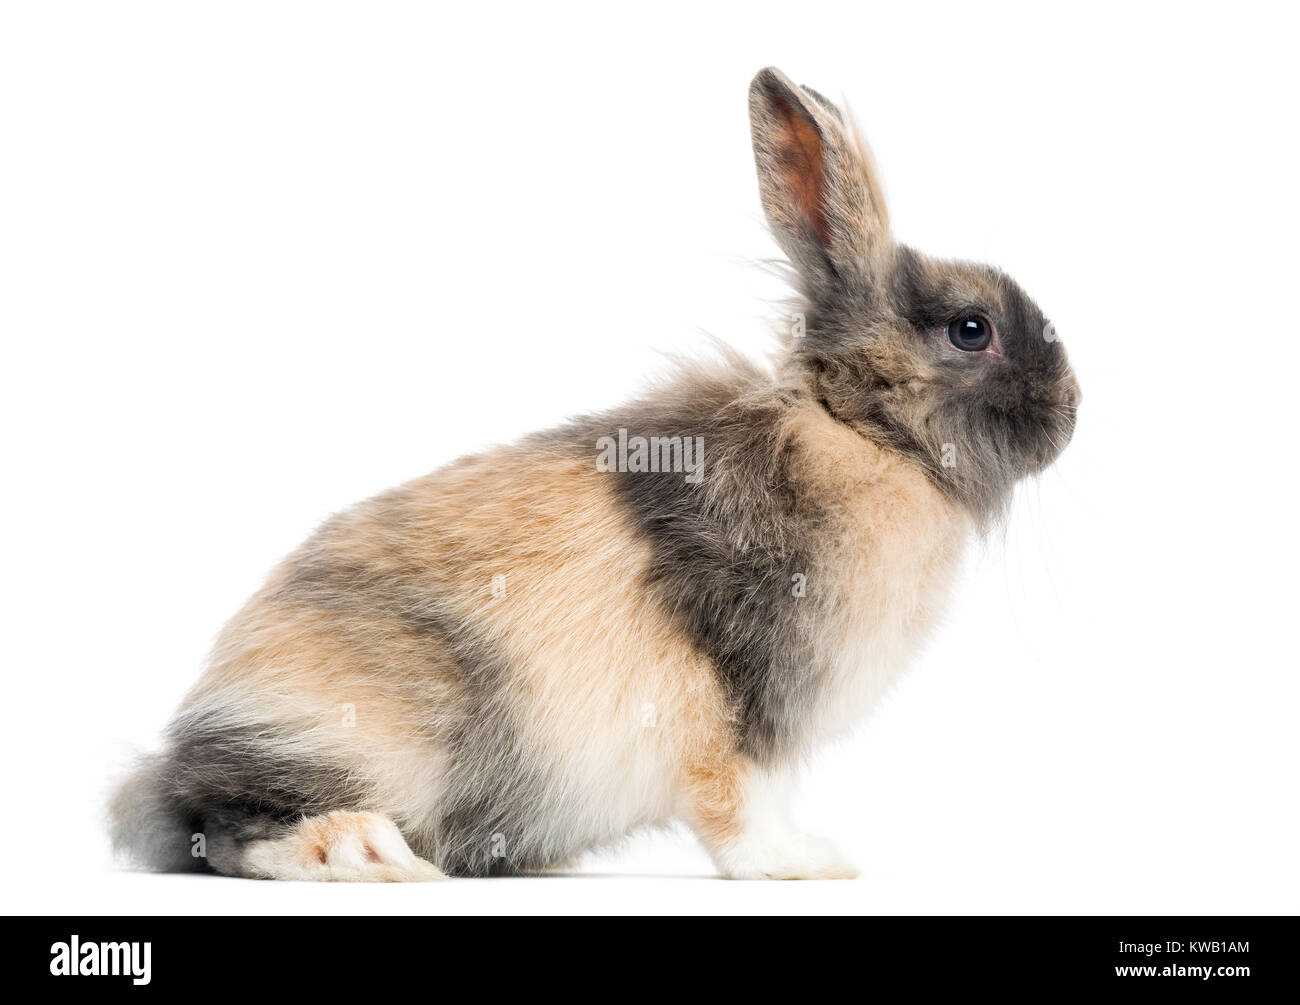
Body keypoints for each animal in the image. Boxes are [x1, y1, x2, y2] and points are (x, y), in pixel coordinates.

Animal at [109, 67, 1079, 881]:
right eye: (970, 329)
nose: (1072, 411)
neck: (858, 434)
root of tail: (205, 718)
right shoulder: (738, 709)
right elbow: (738, 801)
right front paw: (801, 865)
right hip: (361, 743)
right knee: (222, 825)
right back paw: (365, 851)